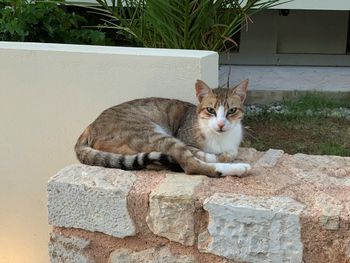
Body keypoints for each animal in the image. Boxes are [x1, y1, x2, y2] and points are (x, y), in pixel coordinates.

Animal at [75, 79, 252, 178]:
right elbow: (209, 155)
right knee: (190, 165)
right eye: (210, 110)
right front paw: (220, 156)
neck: (221, 138)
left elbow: (231, 151)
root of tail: (91, 125)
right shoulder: (186, 142)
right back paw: (239, 168)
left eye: (232, 111)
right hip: (153, 134)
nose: (221, 124)